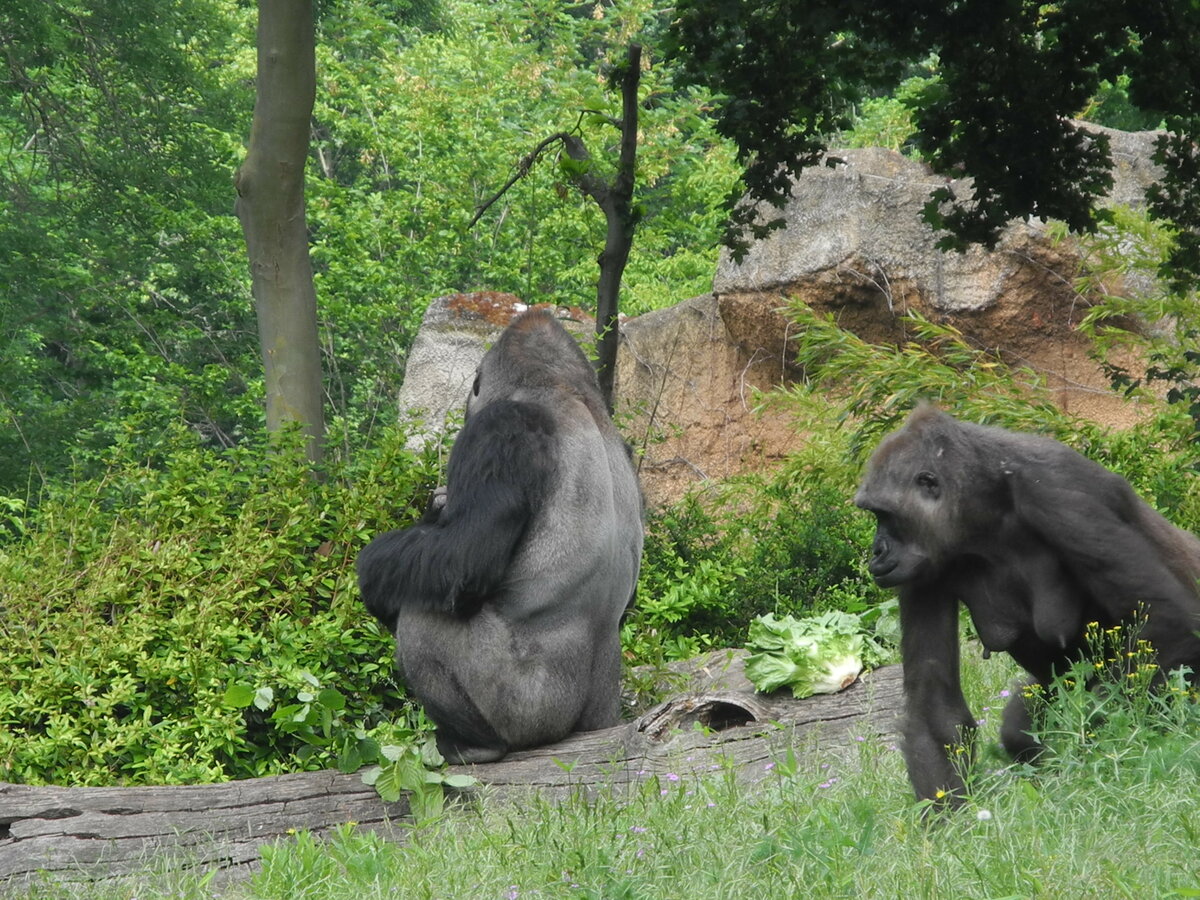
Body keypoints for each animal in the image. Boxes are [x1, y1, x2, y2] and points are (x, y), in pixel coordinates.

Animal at [352, 309, 643, 763]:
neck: (565, 390)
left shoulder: (500, 427)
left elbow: (460, 561)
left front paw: (372, 568)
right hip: (599, 715)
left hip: (528, 712)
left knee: (422, 617)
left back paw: (476, 744)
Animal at [854, 408, 1200, 801]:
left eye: (884, 515)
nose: (876, 552)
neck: (983, 502)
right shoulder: (923, 564)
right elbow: (933, 704)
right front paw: (950, 815)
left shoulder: (1056, 492)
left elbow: (1165, 623)